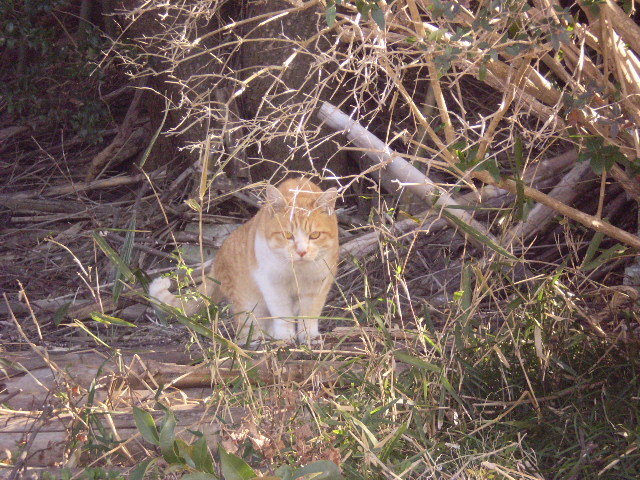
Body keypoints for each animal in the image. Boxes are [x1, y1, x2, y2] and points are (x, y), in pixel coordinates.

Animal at [149, 176, 340, 344]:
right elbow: (281, 312)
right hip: (249, 302)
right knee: (246, 329)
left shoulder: (318, 284)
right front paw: (285, 336)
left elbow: (309, 313)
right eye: (287, 235)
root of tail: (216, 260)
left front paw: (309, 336)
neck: (298, 271)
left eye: (314, 235)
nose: (301, 251)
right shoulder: (272, 283)